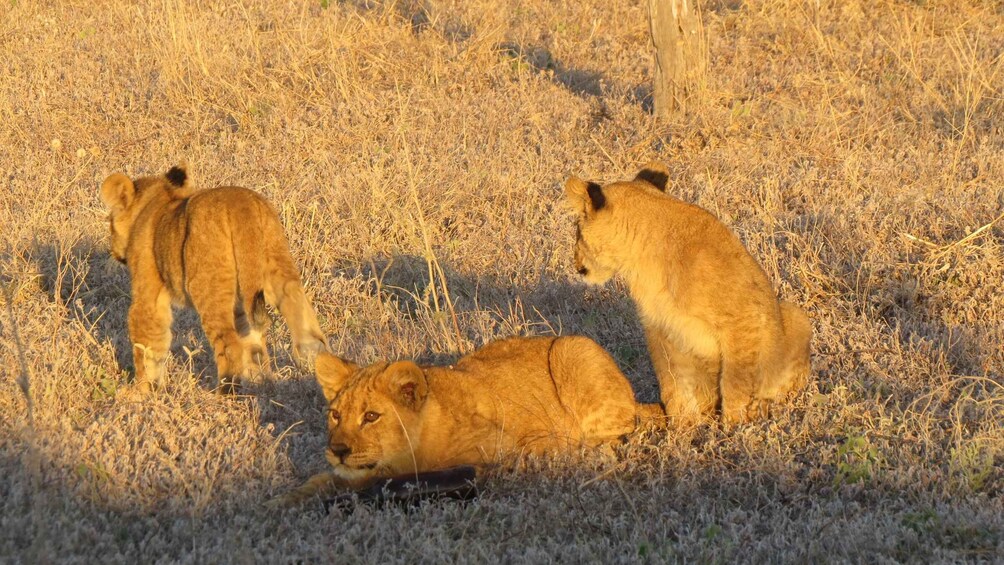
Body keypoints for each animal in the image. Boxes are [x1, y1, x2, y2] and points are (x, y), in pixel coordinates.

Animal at [99, 165, 328, 396]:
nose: (114, 252)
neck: (155, 201)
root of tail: (241, 204)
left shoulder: (148, 294)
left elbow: (147, 341)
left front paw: (142, 392)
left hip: (208, 286)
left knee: (230, 344)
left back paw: (225, 393)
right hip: (276, 266)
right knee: (298, 322)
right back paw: (274, 382)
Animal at [266, 335, 663, 507]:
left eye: (371, 416)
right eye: (335, 414)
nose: (338, 450)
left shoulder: (513, 447)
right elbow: (319, 481)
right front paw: (276, 504)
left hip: (572, 350)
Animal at [563, 163, 811, 426]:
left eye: (577, 232)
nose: (575, 264)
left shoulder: (742, 317)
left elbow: (735, 380)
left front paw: (735, 424)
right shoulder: (660, 328)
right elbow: (672, 382)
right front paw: (683, 424)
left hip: (794, 314)